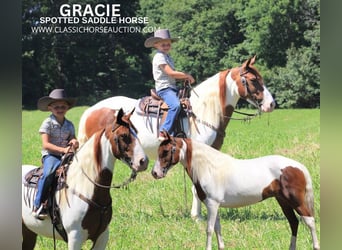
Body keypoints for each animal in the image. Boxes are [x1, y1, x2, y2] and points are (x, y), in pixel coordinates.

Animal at [22, 109, 148, 250]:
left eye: (136, 132)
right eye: (123, 135)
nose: (143, 161)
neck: (85, 188)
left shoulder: (102, 236)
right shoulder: (75, 238)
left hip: (29, 232)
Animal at [151, 132, 320, 249]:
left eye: (166, 151)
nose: (155, 173)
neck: (210, 168)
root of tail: (298, 166)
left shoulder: (212, 204)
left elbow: (209, 229)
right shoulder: (215, 206)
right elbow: (217, 228)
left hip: (296, 201)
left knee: (310, 221)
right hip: (283, 202)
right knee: (294, 222)